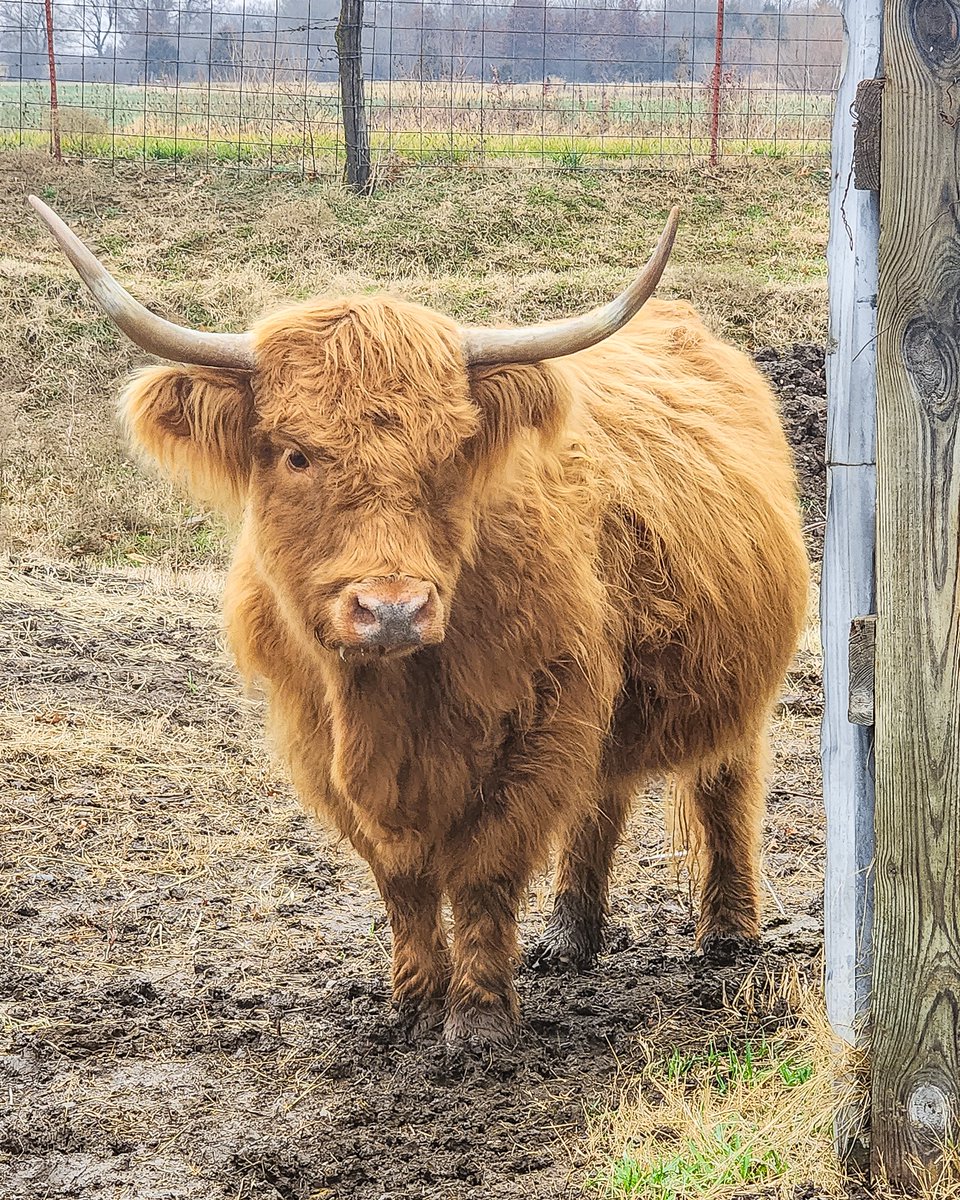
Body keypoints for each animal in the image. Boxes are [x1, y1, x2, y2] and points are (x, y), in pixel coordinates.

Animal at [30, 196, 809, 1049]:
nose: (393, 609)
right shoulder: (318, 736)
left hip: (732, 685)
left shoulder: (540, 724)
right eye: (296, 454)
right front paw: (411, 1003)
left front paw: (478, 1019)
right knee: (601, 800)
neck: (393, 700)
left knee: (725, 785)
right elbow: (399, 880)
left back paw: (728, 933)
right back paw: (569, 936)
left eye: (453, 451)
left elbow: (484, 872)